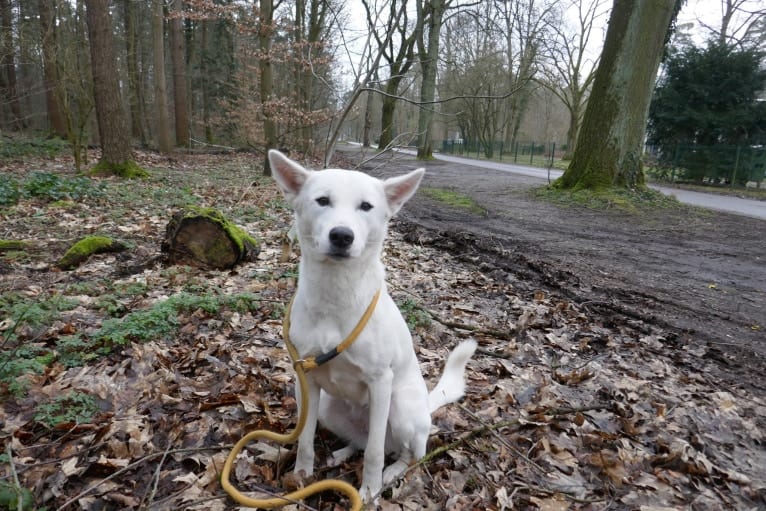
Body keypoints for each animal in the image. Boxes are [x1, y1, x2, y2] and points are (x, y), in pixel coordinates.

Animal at [268, 150, 474, 502]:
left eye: (366, 206)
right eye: (322, 200)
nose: (341, 235)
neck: (336, 294)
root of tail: (426, 405)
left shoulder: (380, 383)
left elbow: (376, 453)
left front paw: (370, 490)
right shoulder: (306, 378)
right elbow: (306, 439)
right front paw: (302, 476)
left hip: (401, 409)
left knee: (407, 453)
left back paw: (393, 472)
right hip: (329, 408)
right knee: (362, 442)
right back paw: (342, 453)